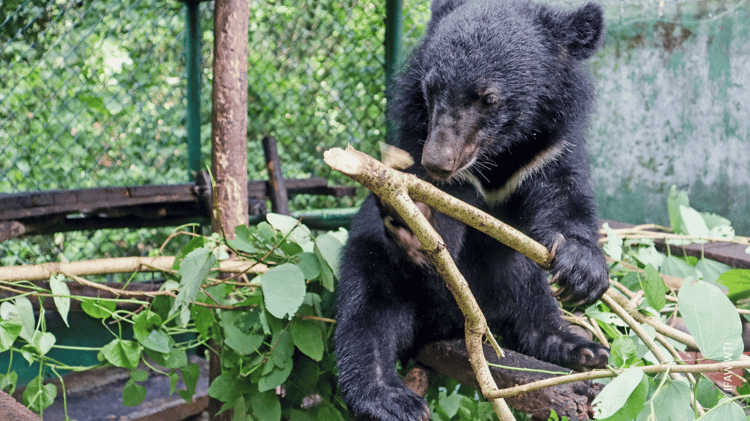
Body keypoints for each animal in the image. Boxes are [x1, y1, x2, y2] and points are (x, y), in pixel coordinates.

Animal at [334, 1, 610, 420]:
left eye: (488, 98)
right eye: (431, 89)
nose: (438, 162)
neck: (498, 158)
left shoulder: (550, 150)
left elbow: (566, 198)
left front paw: (583, 272)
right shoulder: (421, 143)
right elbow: (438, 216)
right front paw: (416, 221)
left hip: (515, 281)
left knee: (532, 299)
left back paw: (579, 346)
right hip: (380, 270)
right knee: (366, 316)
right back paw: (389, 397)